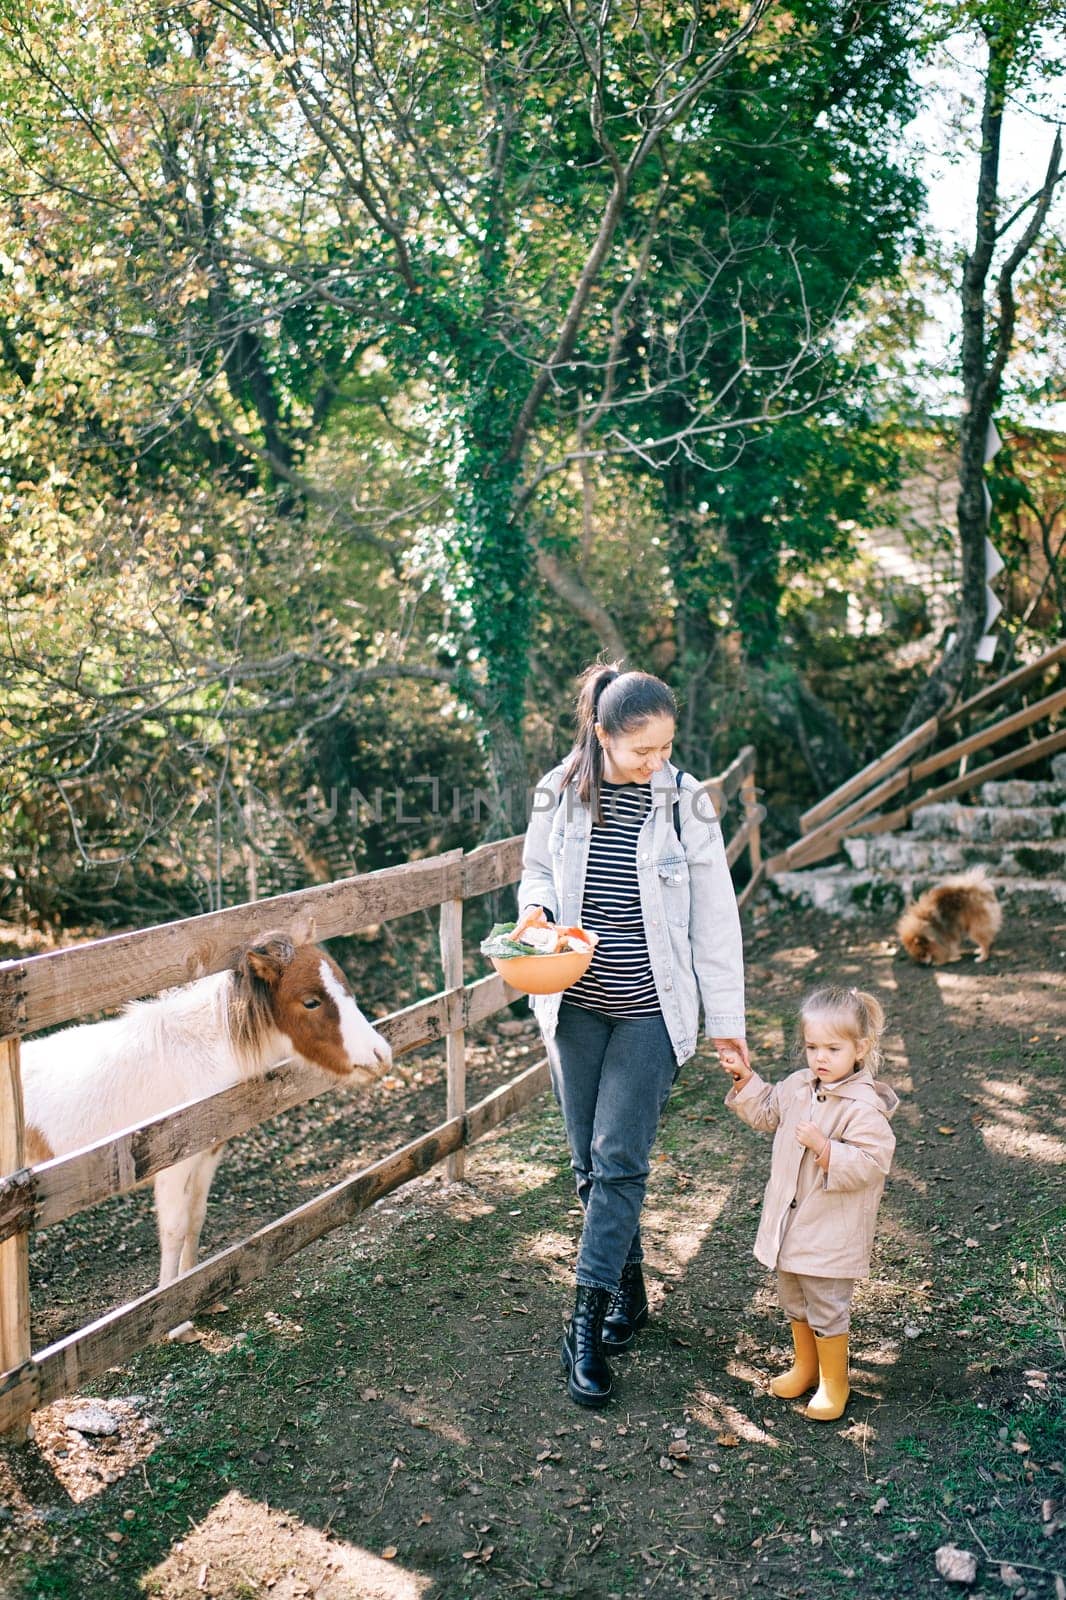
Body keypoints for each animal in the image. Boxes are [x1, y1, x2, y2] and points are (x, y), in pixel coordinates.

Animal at [20, 934, 390, 1286]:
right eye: (311, 1002)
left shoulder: (207, 1155)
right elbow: (173, 1231)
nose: (382, 1054)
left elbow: (196, 1218)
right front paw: (171, 1305)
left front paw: (198, 1291)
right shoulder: (172, 1168)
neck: (198, 1055)